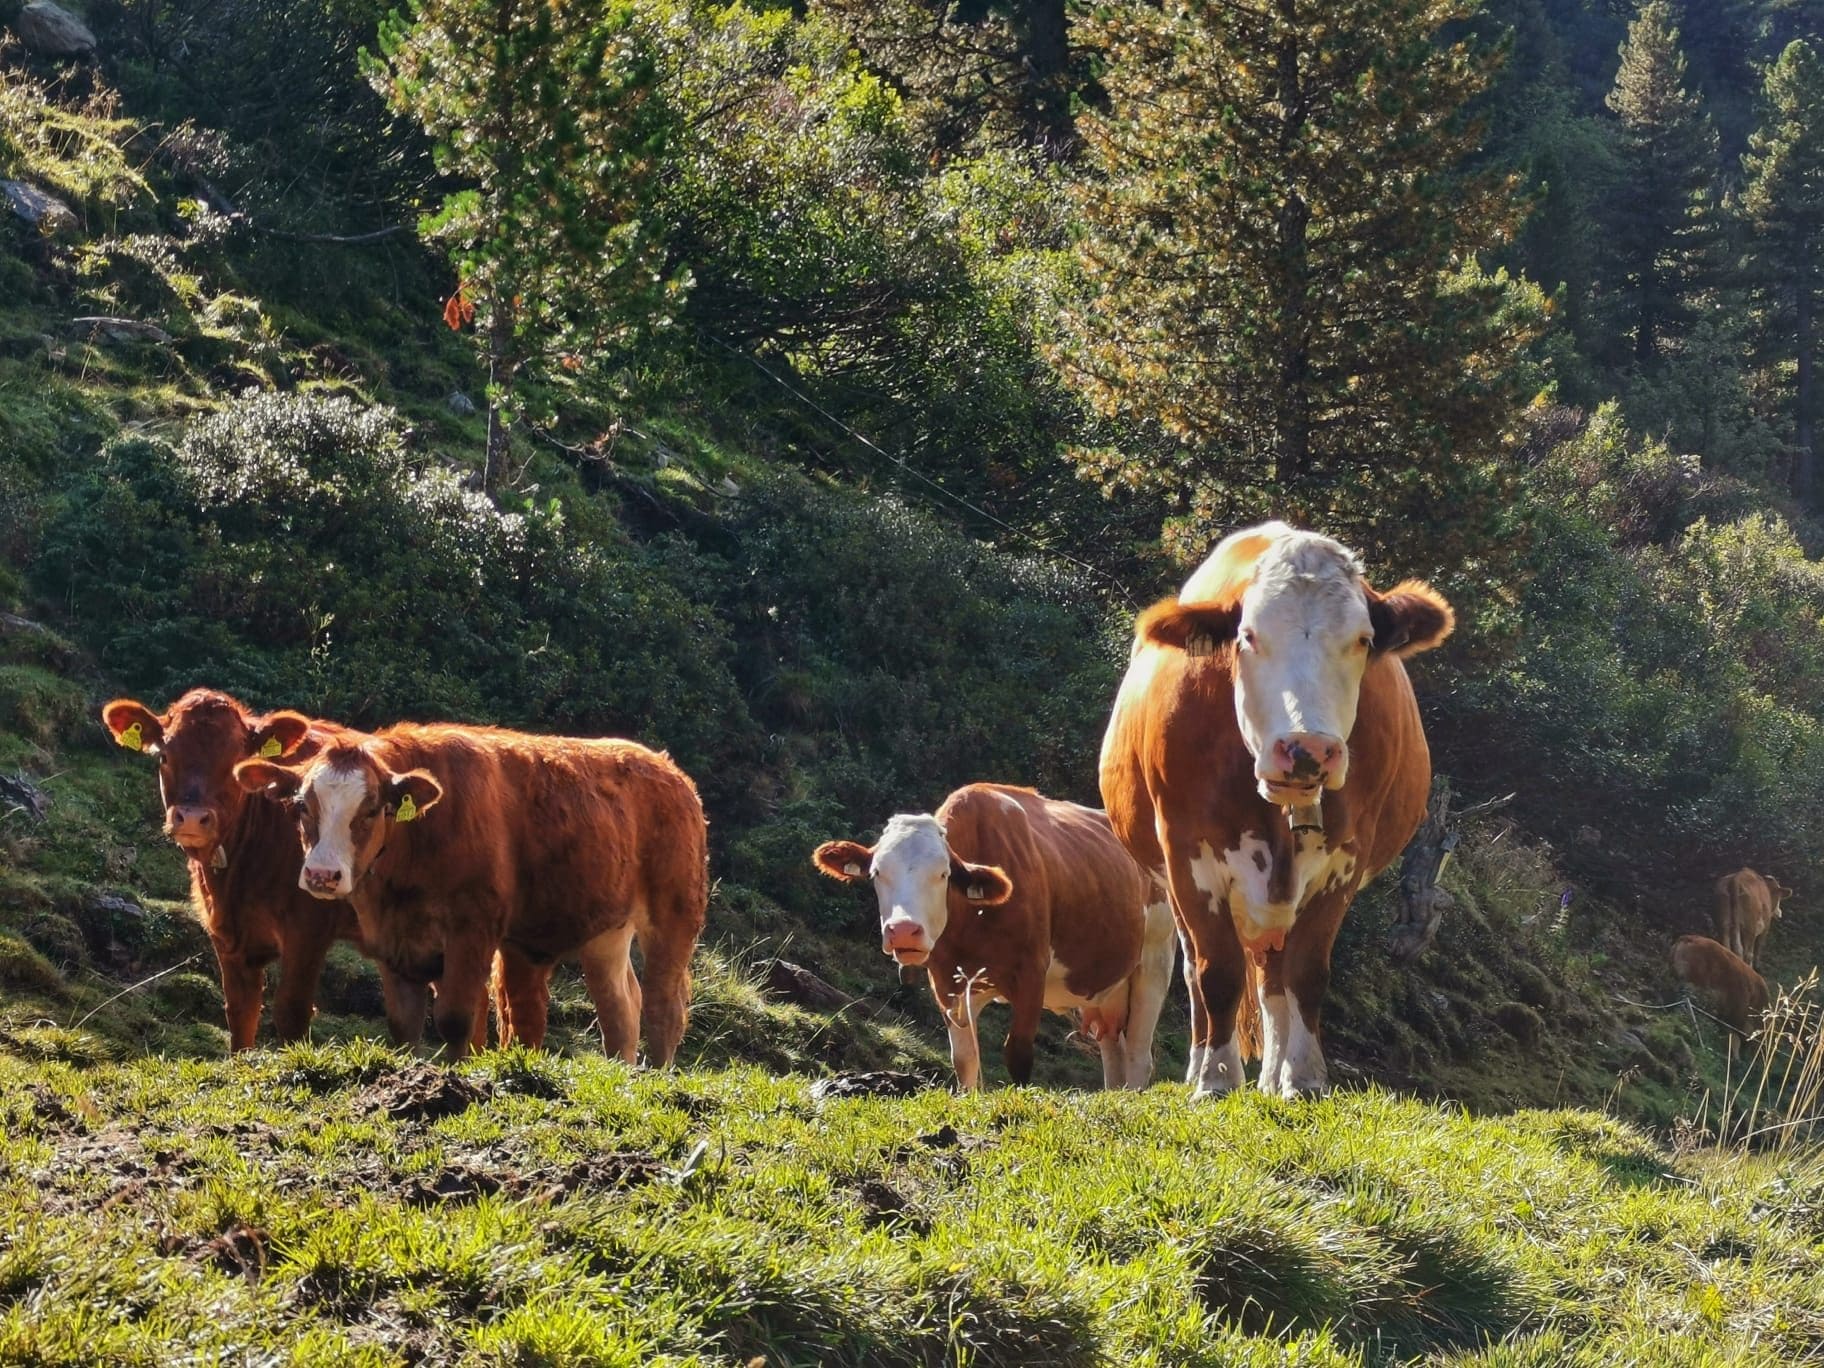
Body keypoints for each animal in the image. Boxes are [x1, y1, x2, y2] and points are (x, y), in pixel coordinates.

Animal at [101, 690, 361, 1051]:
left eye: (237, 760)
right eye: (164, 756)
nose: (191, 817)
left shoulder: (309, 926)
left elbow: (292, 1014)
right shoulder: (228, 935)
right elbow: (241, 1012)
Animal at [234, 723, 708, 1063]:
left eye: (370, 810)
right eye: (301, 806)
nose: (322, 874)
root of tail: (667, 768)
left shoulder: (472, 929)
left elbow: (455, 1018)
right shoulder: (392, 940)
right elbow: (404, 1023)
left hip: (674, 915)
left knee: (663, 1007)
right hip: (604, 932)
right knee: (620, 1009)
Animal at [813, 784, 1176, 1092]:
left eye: (943, 874)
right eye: (877, 872)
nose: (903, 930)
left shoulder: (1030, 973)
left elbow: (1017, 1053)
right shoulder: (947, 981)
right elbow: (964, 1059)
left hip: (1155, 962)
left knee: (1139, 1055)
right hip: (1106, 991)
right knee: (1114, 1053)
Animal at [1099, 521, 1454, 1099]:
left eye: (1363, 640)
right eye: (1248, 636)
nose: (1308, 748)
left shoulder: (1345, 860)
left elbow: (1306, 974)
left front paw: (1304, 1077)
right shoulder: (1186, 853)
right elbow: (1216, 972)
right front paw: (1216, 1078)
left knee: (1274, 980)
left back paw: (1272, 1076)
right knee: (1198, 976)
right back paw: (1204, 1066)